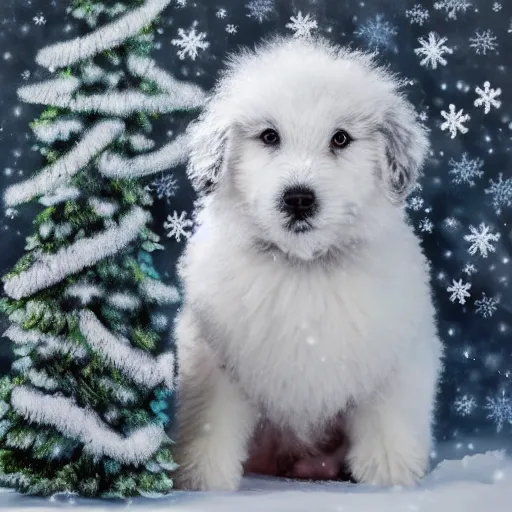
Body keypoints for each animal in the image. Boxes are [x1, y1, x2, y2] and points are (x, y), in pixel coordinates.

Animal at [173, 36, 444, 492]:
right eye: (269, 136)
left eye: (340, 139)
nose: (298, 198)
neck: (303, 266)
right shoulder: (216, 359)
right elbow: (210, 419)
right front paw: (202, 477)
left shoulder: (394, 353)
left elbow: (387, 416)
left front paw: (388, 475)